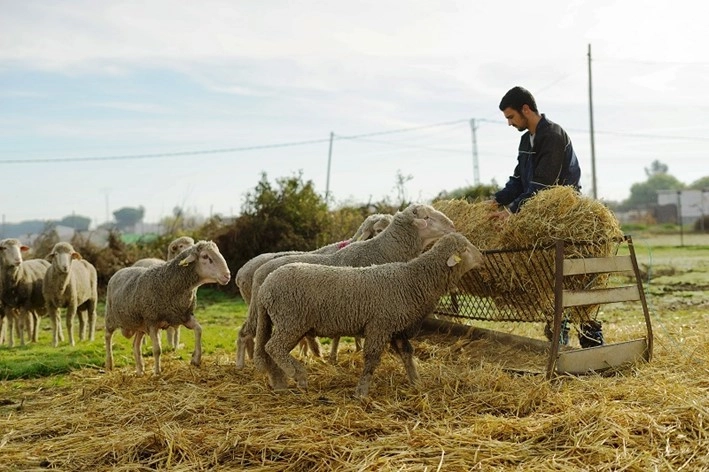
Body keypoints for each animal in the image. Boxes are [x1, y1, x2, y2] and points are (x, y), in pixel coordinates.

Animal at [103, 240, 231, 376]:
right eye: (205, 256)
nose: (227, 275)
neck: (170, 282)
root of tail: (119, 271)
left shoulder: (183, 316)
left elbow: (199, 330)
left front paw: (196, 359)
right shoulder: (152, 321)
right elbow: (157, 349)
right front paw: (157, 372)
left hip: (140, 325)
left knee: (135, 345)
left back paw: (140, 370)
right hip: (111, 317)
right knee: (108, 336)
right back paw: (109, 364)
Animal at [234, 205, 454, 370]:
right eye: (427, 217)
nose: (452, 225)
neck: (380, 250)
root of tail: (250, 270)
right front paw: (341, 355)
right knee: (246, 334)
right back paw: (244, 364)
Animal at [253, 230, 482, 396]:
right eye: (465, 248)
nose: (481, 255)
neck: (415, 280)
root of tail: (265, 286)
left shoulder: (396, 328)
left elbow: (407, 354)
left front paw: (416, 382)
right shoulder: (379, 325)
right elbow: (371, 358)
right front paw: (361, 391)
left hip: (285, 322)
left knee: (269, 350)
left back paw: (280, 383)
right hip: (290, 320)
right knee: (274, 348)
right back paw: (299, 375)